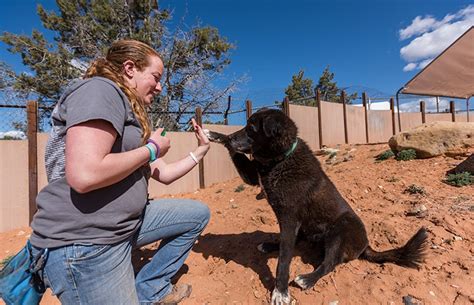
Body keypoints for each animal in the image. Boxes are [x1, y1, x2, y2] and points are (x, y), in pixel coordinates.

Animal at [206, 108, 428, 302]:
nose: (232, 137)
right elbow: (235, 153)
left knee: (329, 263)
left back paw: (307, 279)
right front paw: (213, 134)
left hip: (341, 229)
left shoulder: (289, 218)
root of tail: (367, 245)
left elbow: (284, 260)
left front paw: (280, 291)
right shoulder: (254, 178)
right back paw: (270, 244)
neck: (280, 160)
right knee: (297, 242)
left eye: (251, 128)